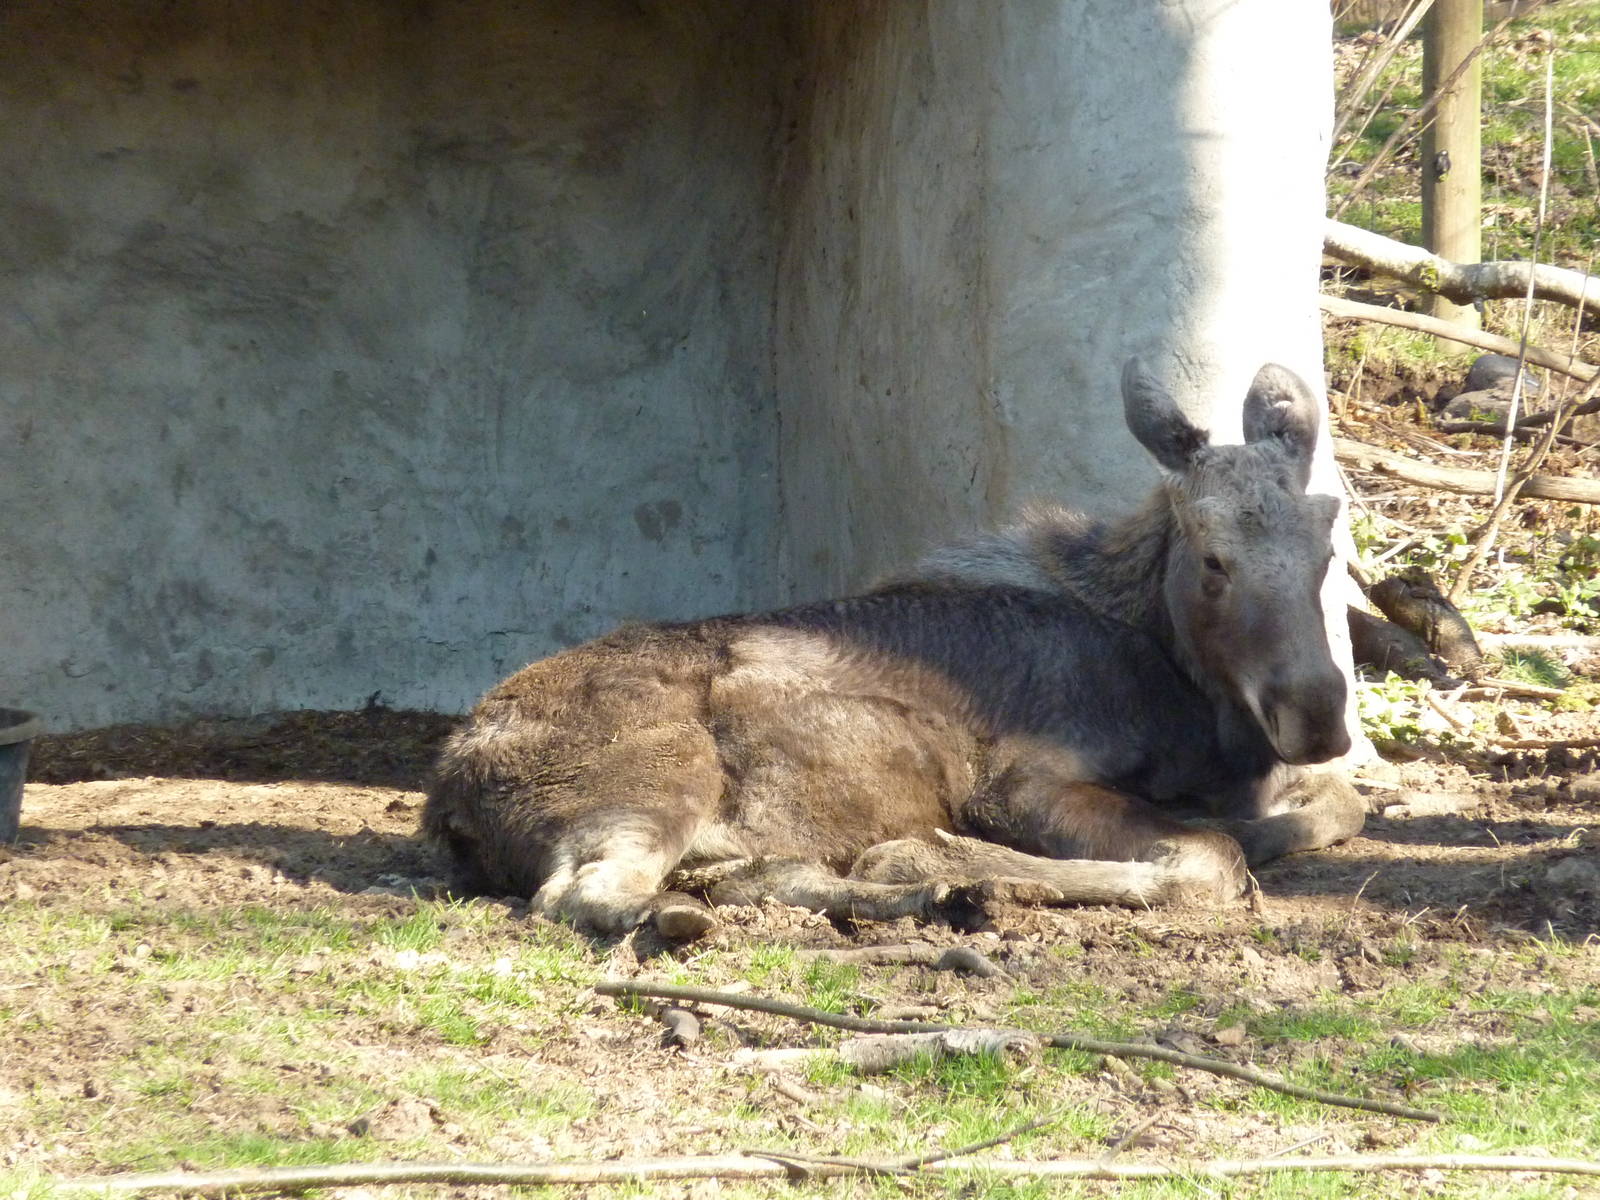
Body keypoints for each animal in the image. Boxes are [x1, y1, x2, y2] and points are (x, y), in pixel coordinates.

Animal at [423, 360, 1366, 941]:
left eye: (1328, 542)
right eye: (1212, 557)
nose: (1318, 713)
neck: (1184, 697)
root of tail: (449, 787)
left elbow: (1334, 807)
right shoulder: (1018, 778)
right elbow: (1211, 858)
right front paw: (946, 857)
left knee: (736, 873)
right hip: (654, 779)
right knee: (586, 894)